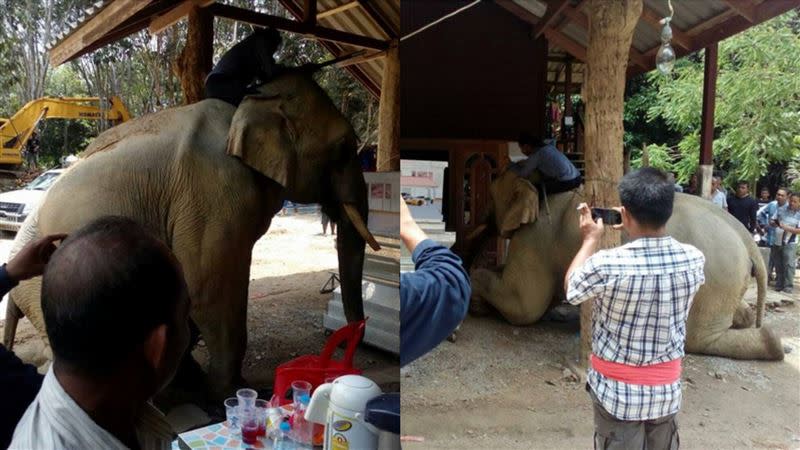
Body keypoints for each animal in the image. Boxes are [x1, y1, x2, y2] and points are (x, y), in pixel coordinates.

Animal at [3, 68, 380, 396]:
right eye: (344, 147)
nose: (353, 339)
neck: (248, 103)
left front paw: (193, 382)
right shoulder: (214, 193)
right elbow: (210, 291)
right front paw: (231, 391)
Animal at [466, 171, 784, 360]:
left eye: (490, 195)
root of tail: (747, 239)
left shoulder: (536, 238)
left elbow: (524, 307)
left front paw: (476, 297)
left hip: (715, 279)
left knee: (699, 338)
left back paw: (773, 342)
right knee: (736, 316)